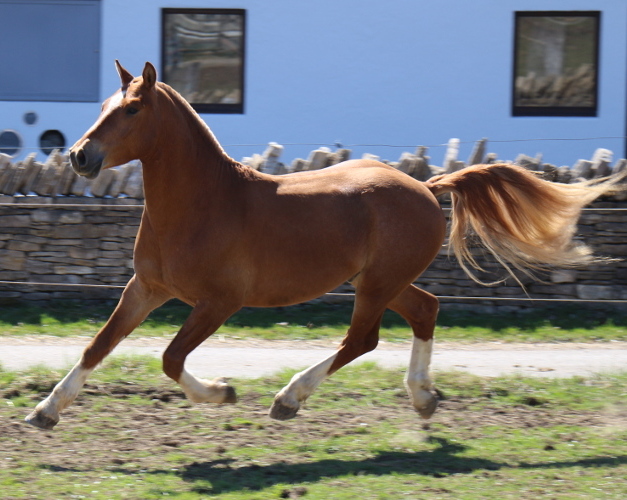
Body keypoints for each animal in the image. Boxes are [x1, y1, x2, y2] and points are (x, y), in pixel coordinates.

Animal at [24, 61, 624, 430]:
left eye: (131, 110)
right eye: (105, 104)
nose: (79, 156)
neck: (202, 205)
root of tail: (427, 187)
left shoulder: (218, 303)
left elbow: (171, 358)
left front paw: (222, 392)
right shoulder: (146, 288)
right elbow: (97, 346)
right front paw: (45, 410)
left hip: (377, 284)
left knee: (362, 339)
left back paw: (288, 398)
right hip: (383, 281)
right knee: (425, 310)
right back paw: (423, 397)